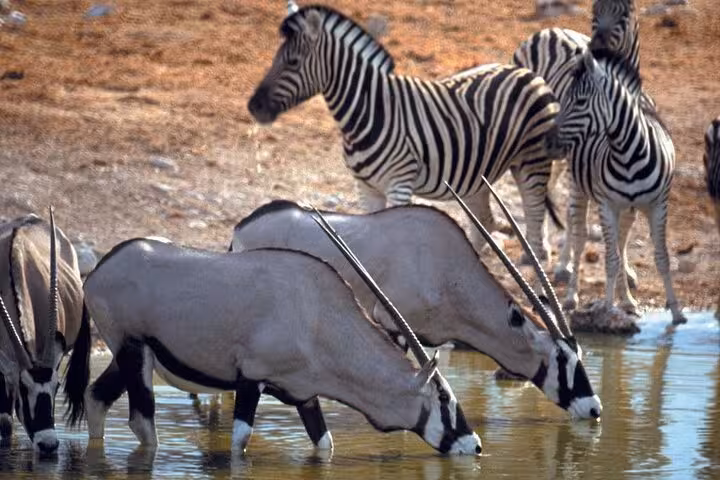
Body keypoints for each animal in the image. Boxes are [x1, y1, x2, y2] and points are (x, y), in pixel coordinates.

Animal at [248, 2, 562, 261]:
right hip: (478, 176)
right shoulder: (366, 188)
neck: (369, 112)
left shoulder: (399, 183)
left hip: (532, 162)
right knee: (483, 224)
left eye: (292, 62)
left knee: (535, 225)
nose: (254, 106)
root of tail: (527, 72)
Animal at [513, 0, 655, 285]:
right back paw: (535, 250)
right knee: (533, 190)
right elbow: (575, 216)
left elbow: (624, 225)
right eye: (594, 10)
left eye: (625, 13)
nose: (595, 47)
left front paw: (627, 272)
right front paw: (564, 266)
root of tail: (549, 29)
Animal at [545, 49, 687, 325]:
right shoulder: (606, 204)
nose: (548, 141)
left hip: (629, 209)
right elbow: (610, 259)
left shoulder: (658, 204)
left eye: (580, 102)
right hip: (579, 189)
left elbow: (661, 257)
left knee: (621, 244)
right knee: (580, 238)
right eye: (564, 100)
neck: (628, 154)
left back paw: (628, 300)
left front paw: (676, 312)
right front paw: (607, 310)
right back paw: (572, 297)